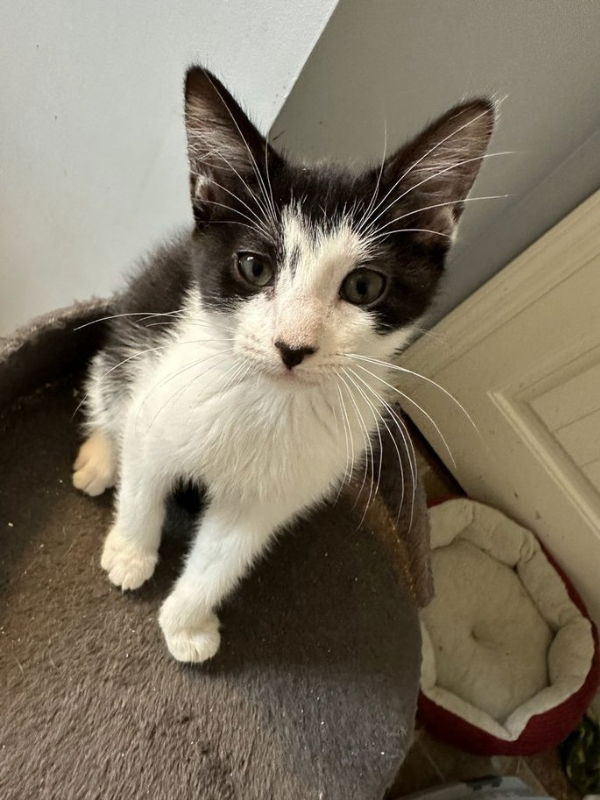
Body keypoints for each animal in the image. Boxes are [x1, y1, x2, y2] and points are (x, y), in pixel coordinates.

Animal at [72, 67, 494, 664]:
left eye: (364, 286)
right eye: (254, 267)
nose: (292, 346)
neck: (267, 400)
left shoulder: (275, 495)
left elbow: (224, 557)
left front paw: (187, 624)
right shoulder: (163, 398)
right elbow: (143, 482)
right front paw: (131, 553)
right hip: (133, 334)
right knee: (111, 394)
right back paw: (100, 458)